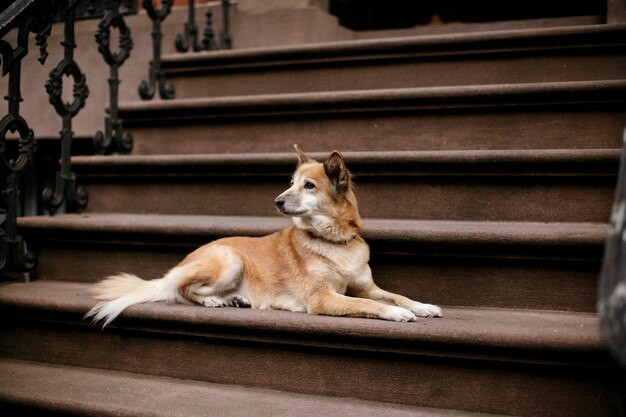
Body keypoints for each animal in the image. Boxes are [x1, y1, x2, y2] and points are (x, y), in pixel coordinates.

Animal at [85, 145, 442, 326]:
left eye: (308, 186)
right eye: (290, 183)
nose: (277, 201)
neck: (333, 241)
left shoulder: (367, 286)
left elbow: (395, 295)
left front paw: (421, 305)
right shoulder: (322, 299)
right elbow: (367, 305)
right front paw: (397, 314)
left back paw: (235, 299)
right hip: (228, 260)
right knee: (182, 291)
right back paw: (215, 300)